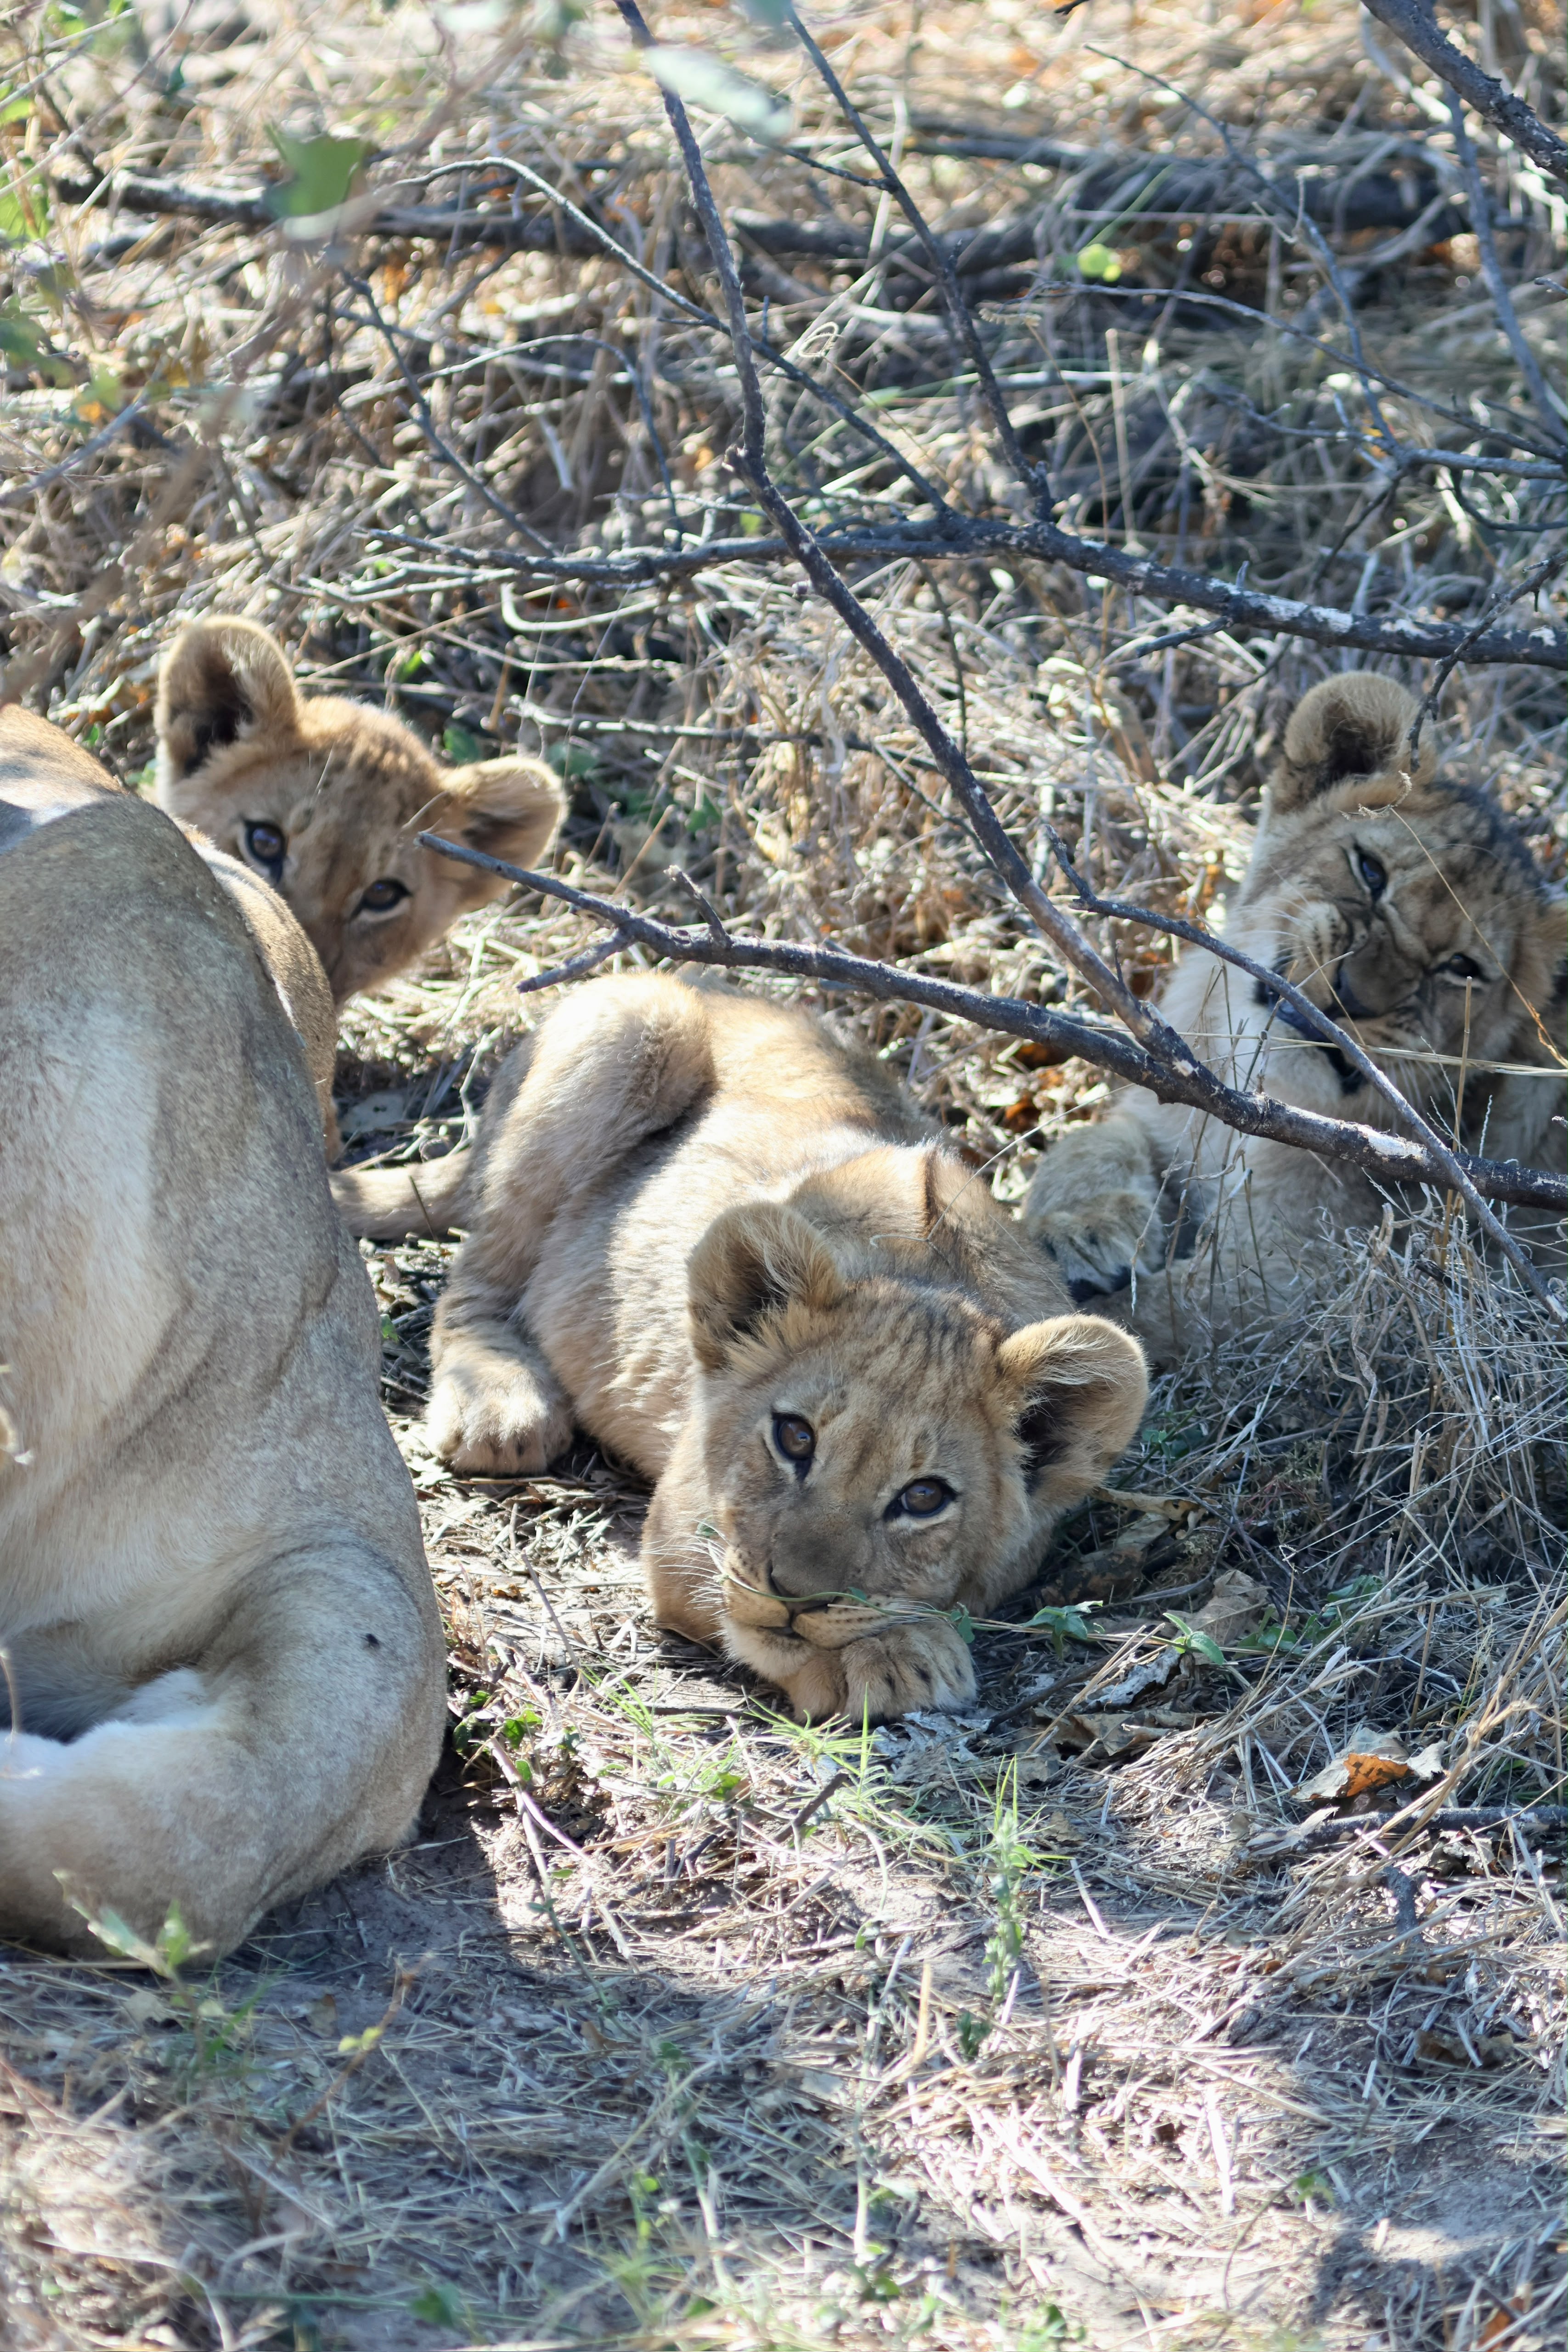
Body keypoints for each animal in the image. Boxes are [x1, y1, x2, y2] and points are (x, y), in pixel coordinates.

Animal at [354, 975, 1148, 1722]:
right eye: (794, 1438)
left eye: (923, 1498)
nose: (792, 1595)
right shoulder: (681, 1529)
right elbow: (749, 1620)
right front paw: (899, 1656)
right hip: (639, 1020)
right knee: (474, 1277)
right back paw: (500, 1407)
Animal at [1023, 674, 1568, 1352]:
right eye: (1369, 871)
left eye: (1462, 969)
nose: (1353, 995)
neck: (1252, 1104)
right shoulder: (1166, 1106)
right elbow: (1087, 1142)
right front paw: (1079, 1229)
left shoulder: (1298, 1280)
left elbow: (1144, 1320)